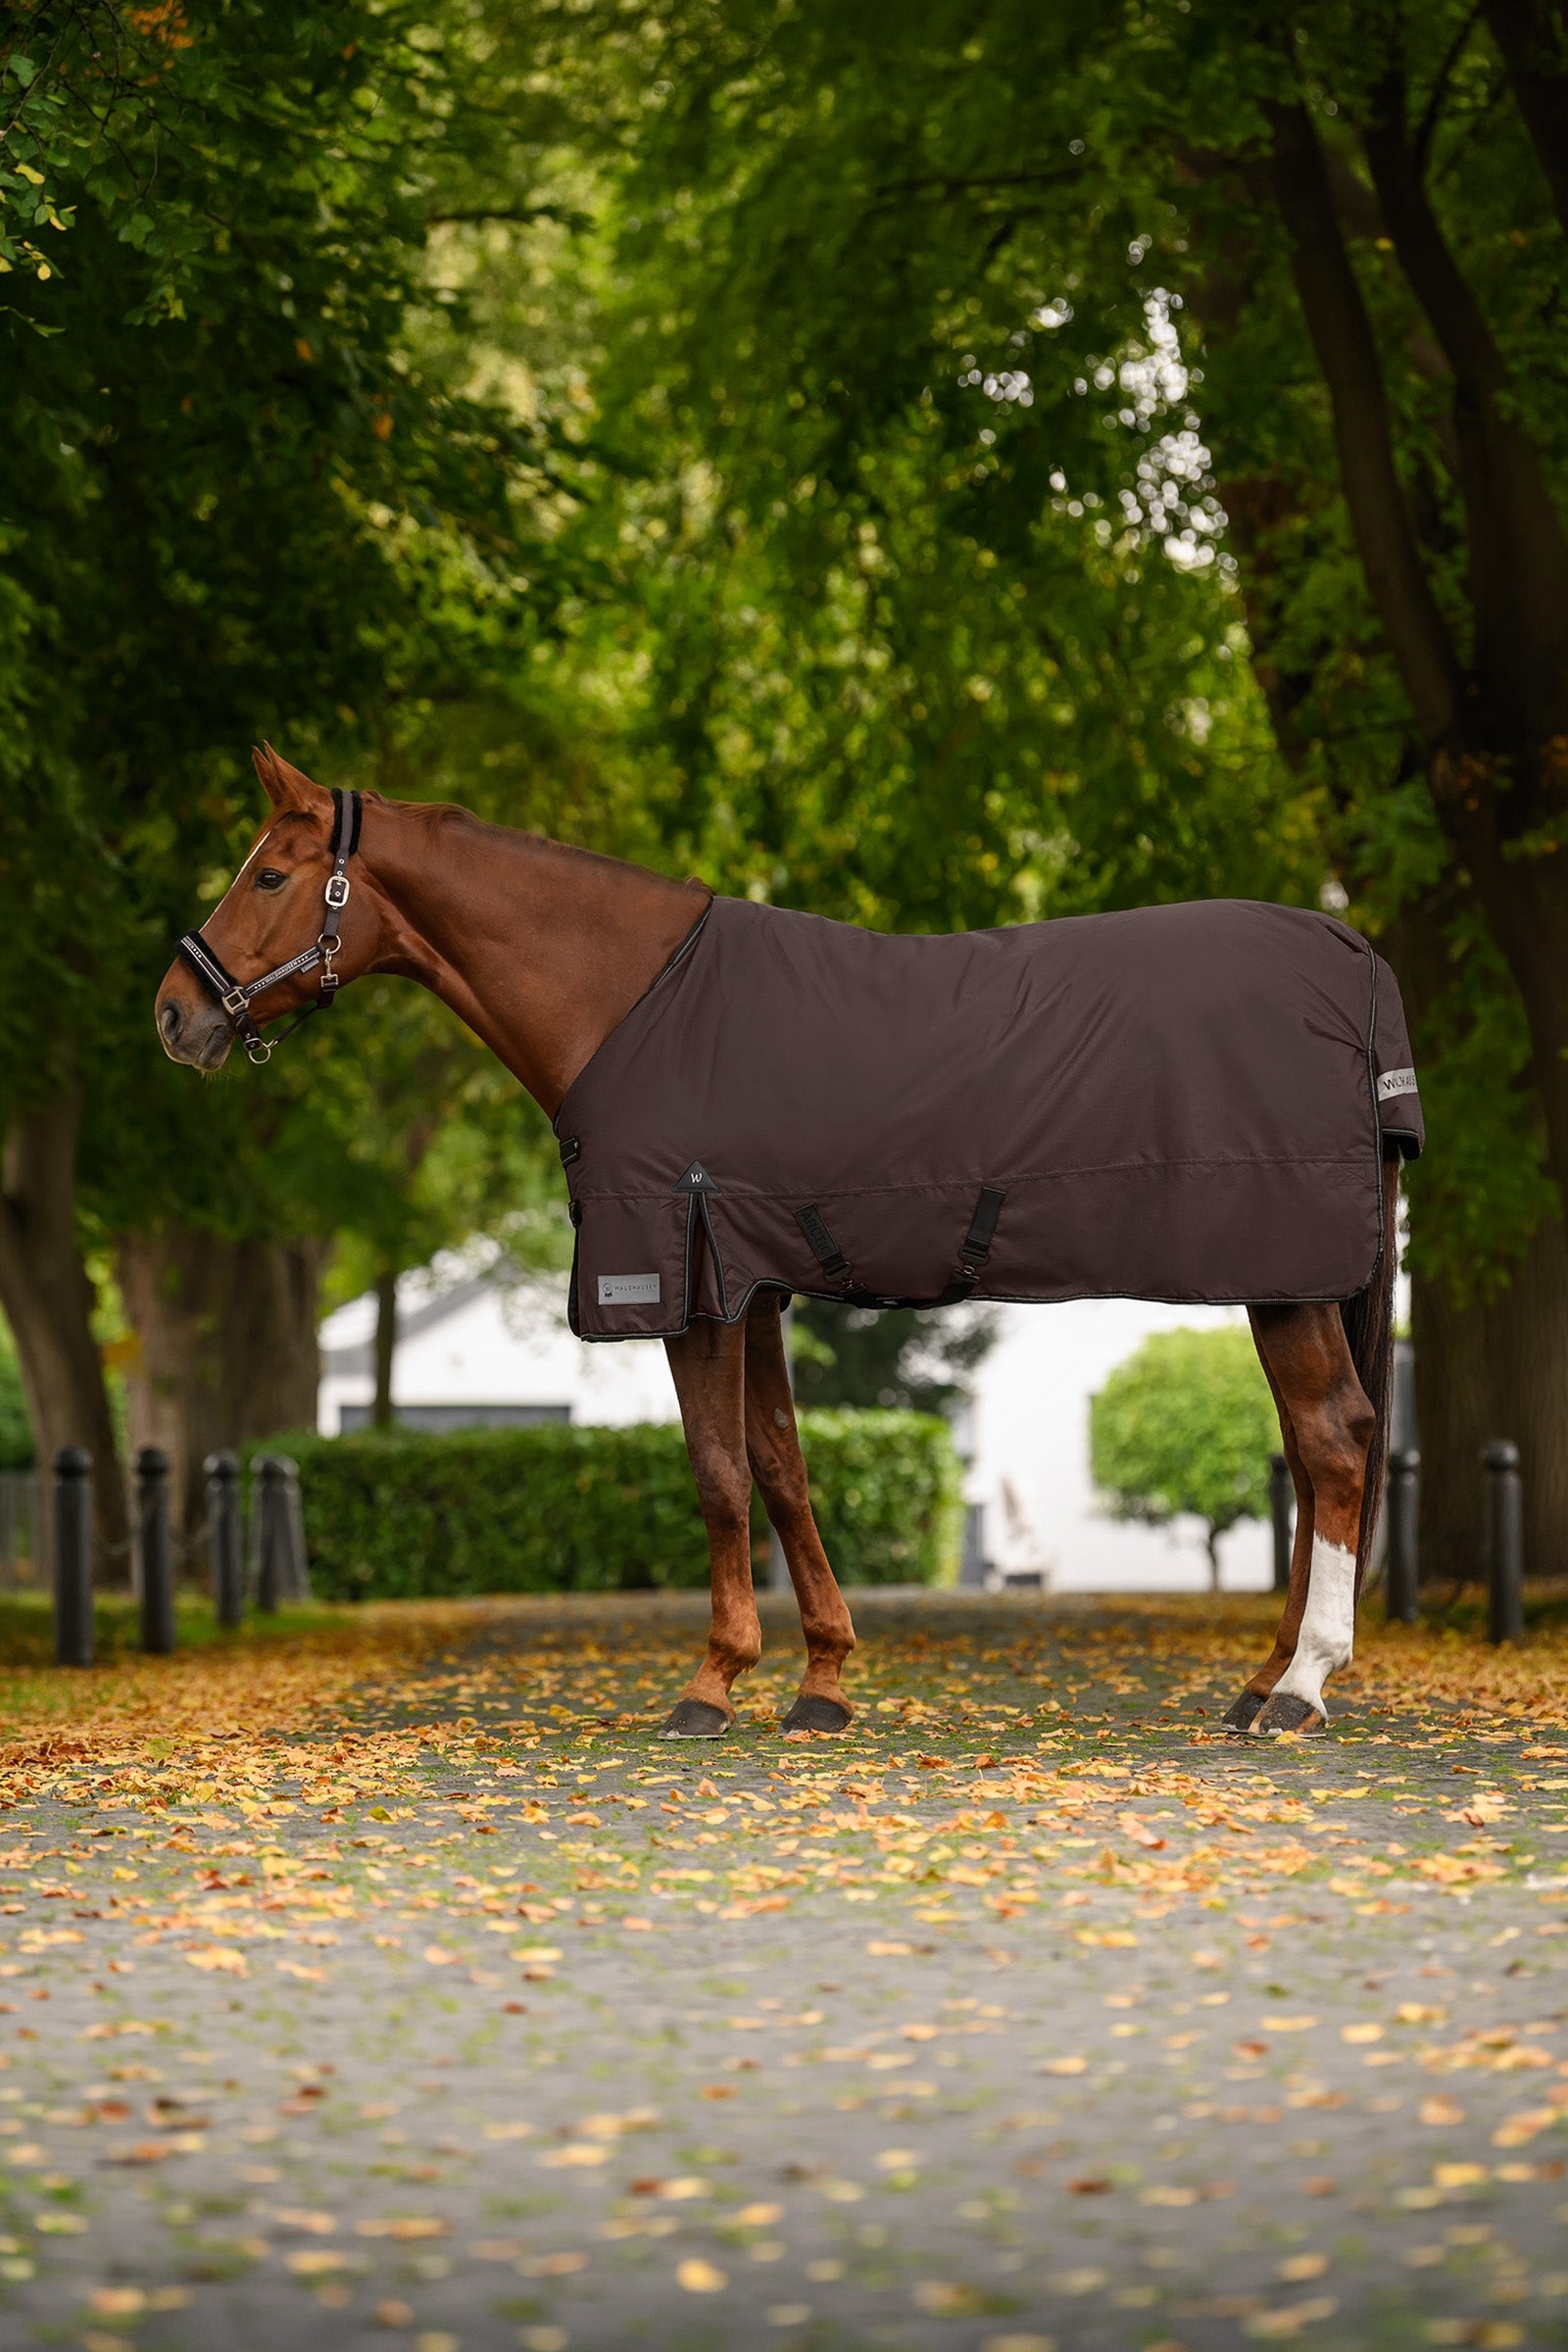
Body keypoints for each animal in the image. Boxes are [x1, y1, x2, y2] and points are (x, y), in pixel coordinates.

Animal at [156, 745, 1411, 1740]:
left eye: (269, 873)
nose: (176, 1012)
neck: (628, 1003)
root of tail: (1348, 953)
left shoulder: (683, 1276)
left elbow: (717, 1477)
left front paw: (711, 1685)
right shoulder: (749, 1286)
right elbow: (780, 1467)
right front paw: (822, 1680)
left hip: (1282, 1278)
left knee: (1334, 1445)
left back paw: (1300, 1688)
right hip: (1285, 1281)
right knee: (1310, 1454)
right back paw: (1260, 1682)